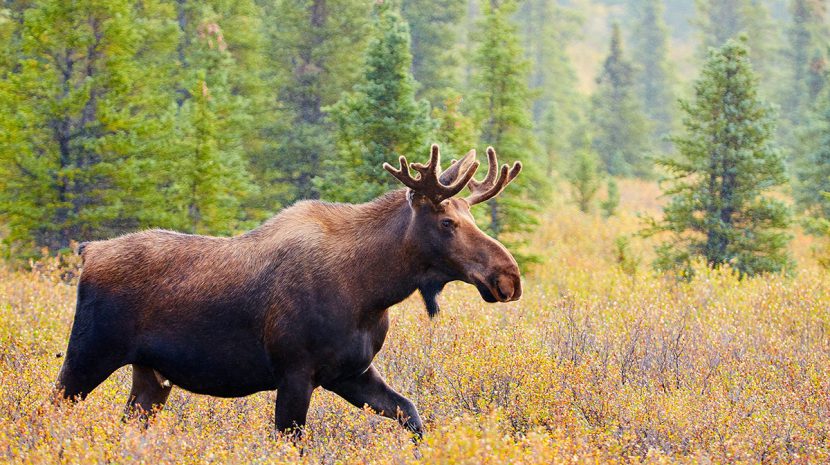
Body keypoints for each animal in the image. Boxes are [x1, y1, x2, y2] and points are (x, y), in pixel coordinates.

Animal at [57, 144, 528, 436]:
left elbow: (412, 415)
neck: (371, 291)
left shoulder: (351, 372)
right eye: (447, 222)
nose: (509, 277)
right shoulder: (295, 372)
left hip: (151, 376)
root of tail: (89, 251)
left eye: (471, 217)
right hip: (89, 353)